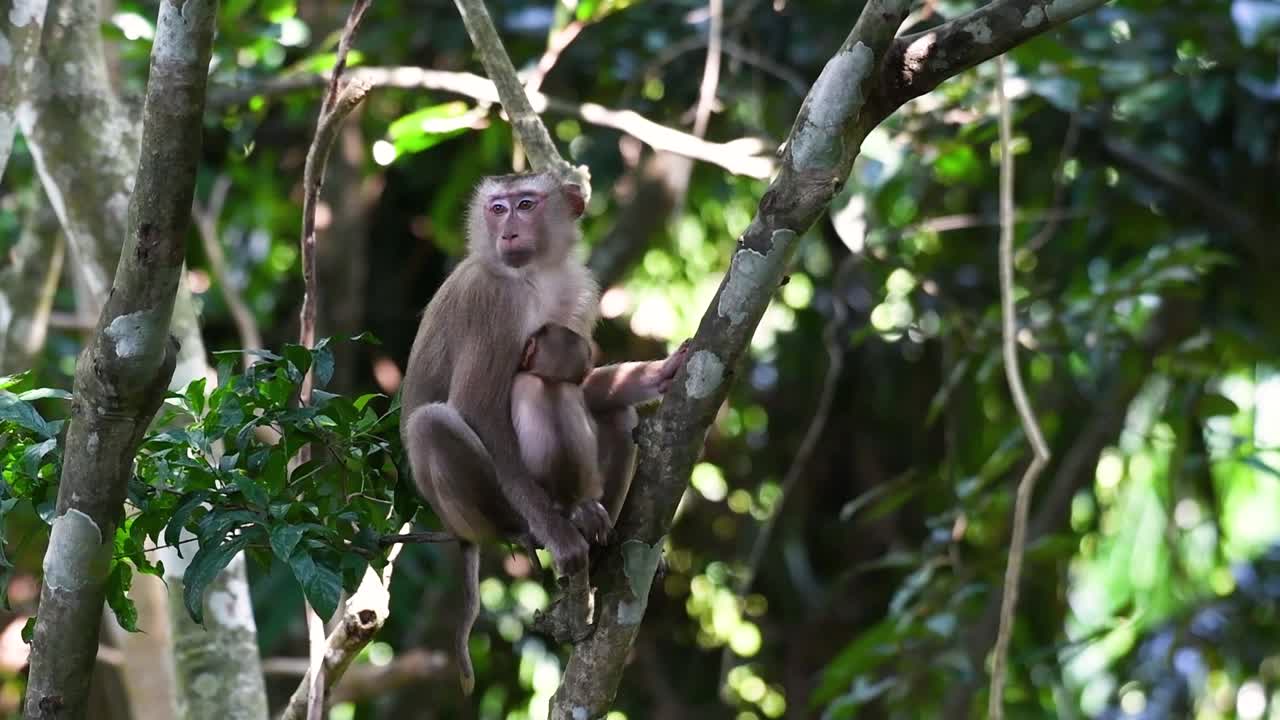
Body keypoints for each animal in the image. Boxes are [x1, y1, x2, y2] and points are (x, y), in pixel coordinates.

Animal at [400, 171, 689, 695]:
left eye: (526, 205)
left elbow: (586, 381)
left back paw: (597, 527)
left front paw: (659, 372)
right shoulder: (492, 299)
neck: (532, 274)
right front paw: (556, 534)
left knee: (615, 415)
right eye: (497, 208)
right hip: (475, 510)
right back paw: (537, 525)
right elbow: (476, 407)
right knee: (435, 421)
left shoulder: (577, 287)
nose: (509, 231)